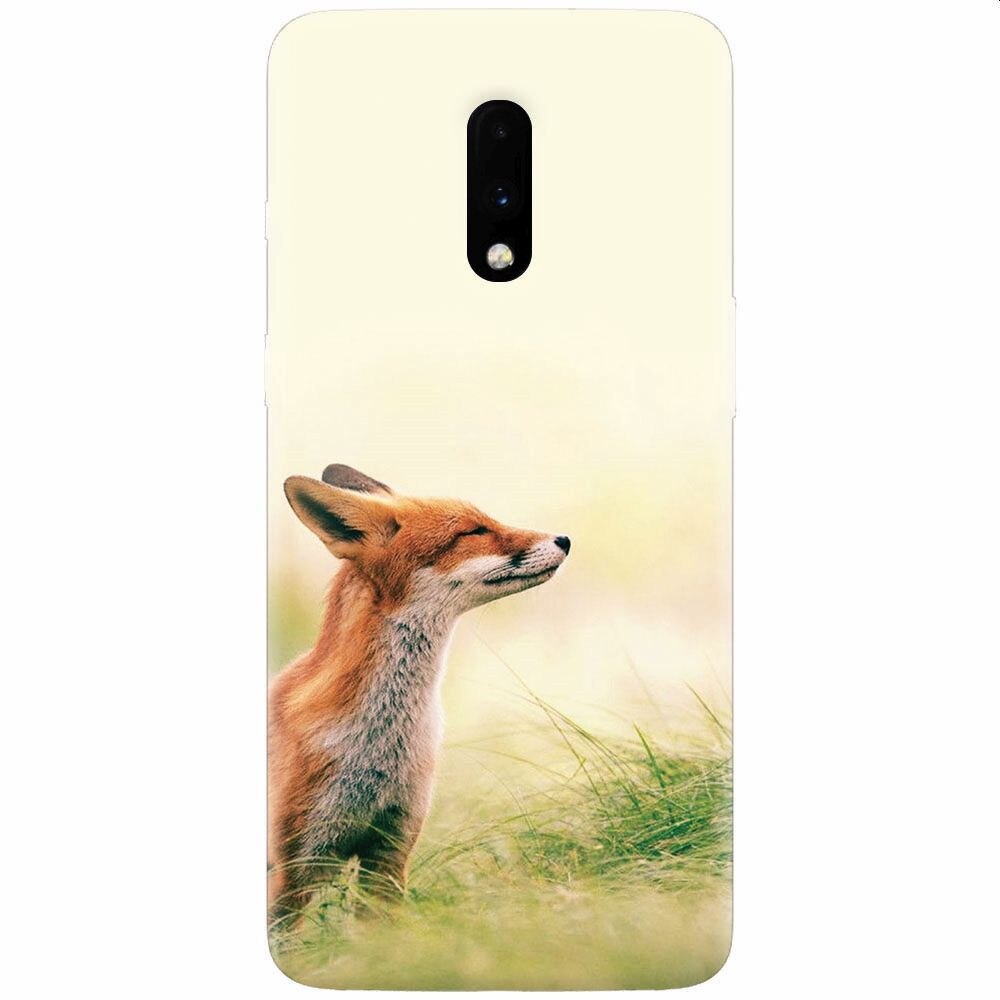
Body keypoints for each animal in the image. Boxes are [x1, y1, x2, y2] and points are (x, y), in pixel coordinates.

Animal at [268, 463, 570, 923]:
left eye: (487, 520)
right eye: (473, 531)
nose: (565, 540)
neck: (379, 746)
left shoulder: (390, 852)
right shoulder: (293, 869)